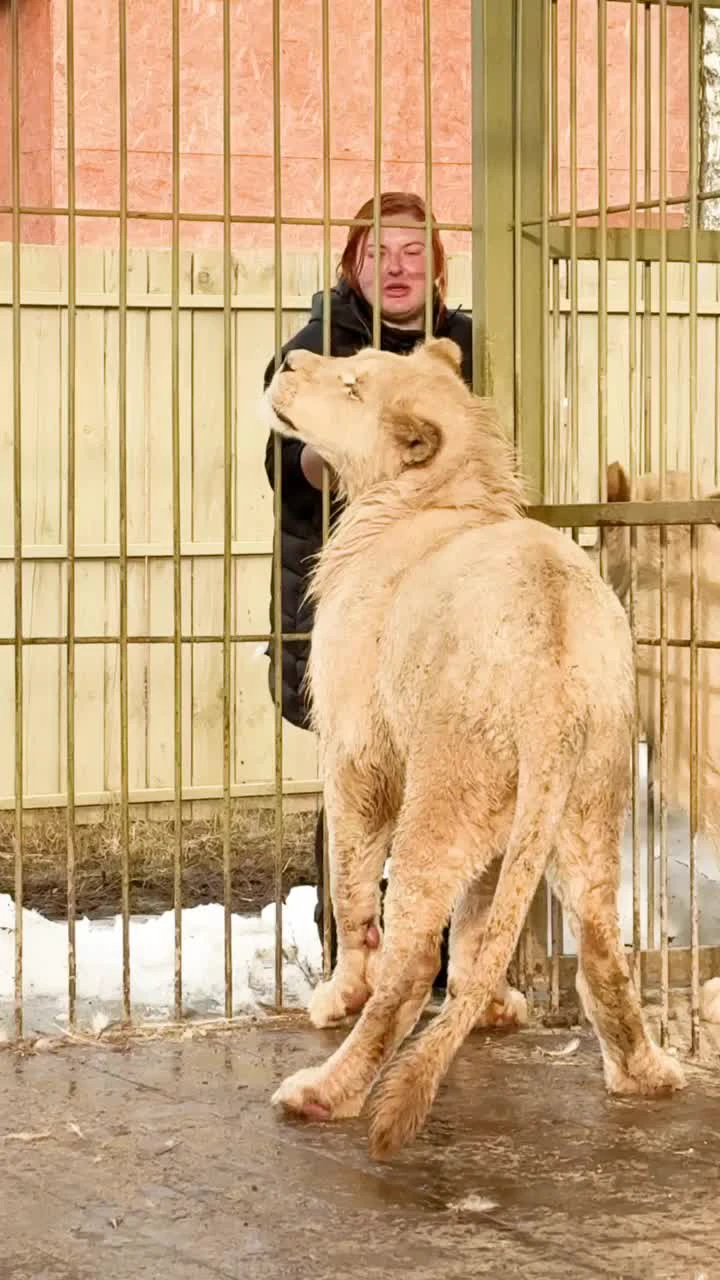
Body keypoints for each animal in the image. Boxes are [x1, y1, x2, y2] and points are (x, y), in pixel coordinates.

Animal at [265, 340, 681, 1162]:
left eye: (352, 382)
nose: (290, 362)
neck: (438, 495)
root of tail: (554, 679)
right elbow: (483, 919)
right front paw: (487, 1006)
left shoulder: (358, 755)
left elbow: (353, 887)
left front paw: (339, 995)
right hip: (583, 810)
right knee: (601, 949)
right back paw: (646, 1074)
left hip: (442, 798)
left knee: (410, 961)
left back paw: (326, 1091)